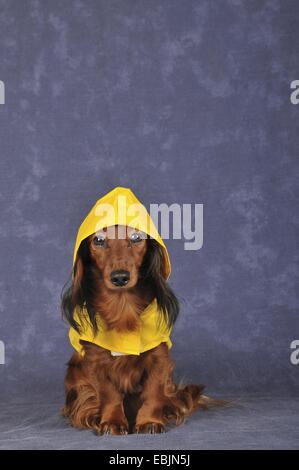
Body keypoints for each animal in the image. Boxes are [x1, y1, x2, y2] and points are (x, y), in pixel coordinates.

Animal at [60, 186, 218, 434]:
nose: (120, 277)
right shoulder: (95, 360)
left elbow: (153, 393)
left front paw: (149, 421)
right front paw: (112, 421)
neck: (122, 306)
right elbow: (109, 394)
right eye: (99, 240)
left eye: (136, 238)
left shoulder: (159, 357)